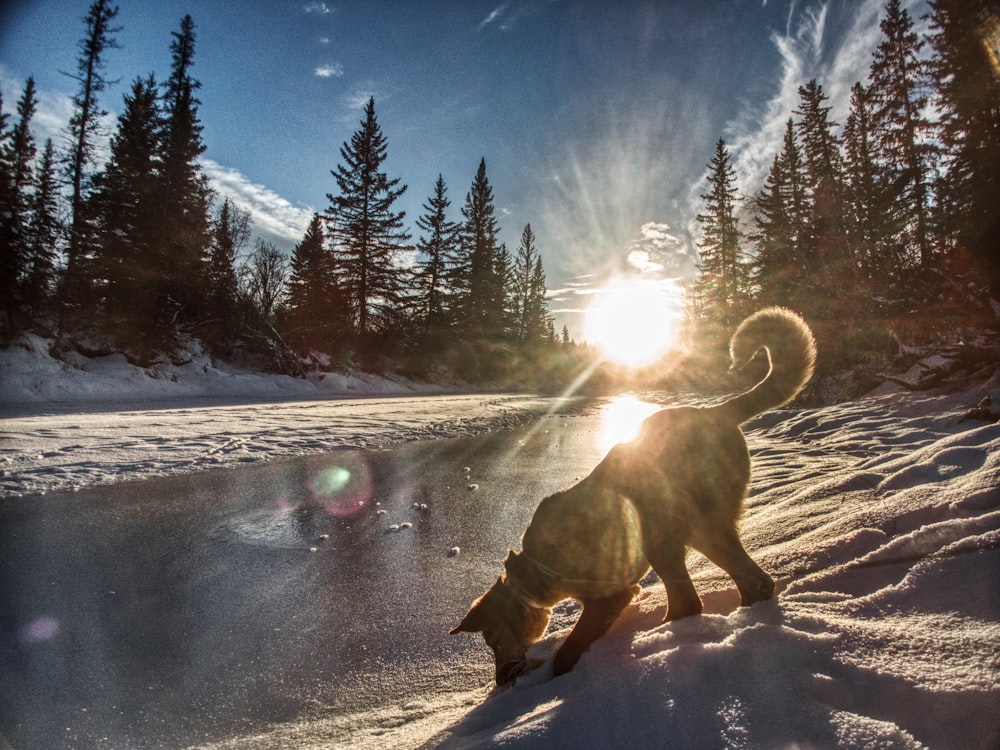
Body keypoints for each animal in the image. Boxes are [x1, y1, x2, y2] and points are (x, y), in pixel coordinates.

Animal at [450, 306, 816, 688]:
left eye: (493, 640)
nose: (501, 679)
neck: (537, 567)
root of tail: (716, 411)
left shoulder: (609, 597)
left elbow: (568, 652)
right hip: (693, 532)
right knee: (750, 582)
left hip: (666, 531)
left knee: (694, 600)